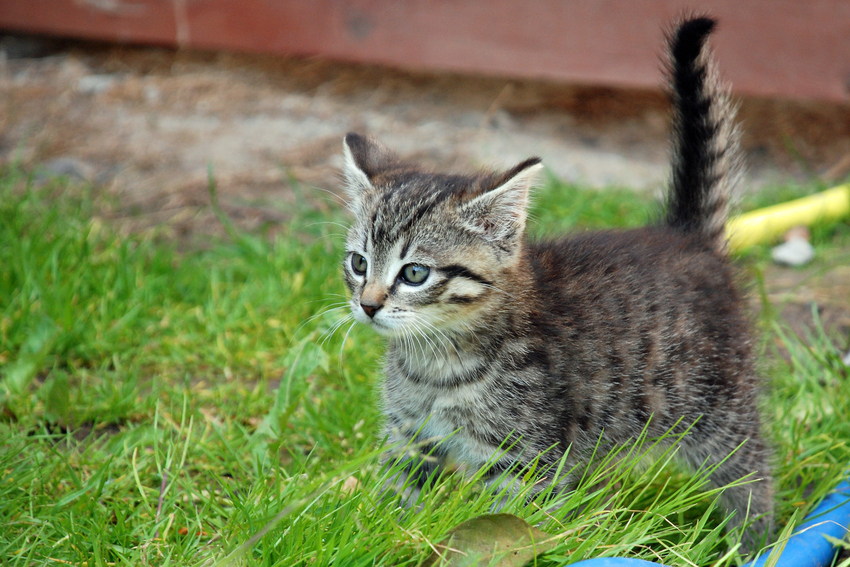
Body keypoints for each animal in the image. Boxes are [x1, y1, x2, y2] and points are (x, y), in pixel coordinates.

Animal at [336, 17, 768, 552]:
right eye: (359, 263)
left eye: (414, 273)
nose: (368, 304)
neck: (435, 364)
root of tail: (686, 236)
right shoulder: (411, 435)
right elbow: (398, 493)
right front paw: (386, 533)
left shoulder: (522, 459)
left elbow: (518, 522)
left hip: (718, 408)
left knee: (751, 474)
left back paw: (754, 543)